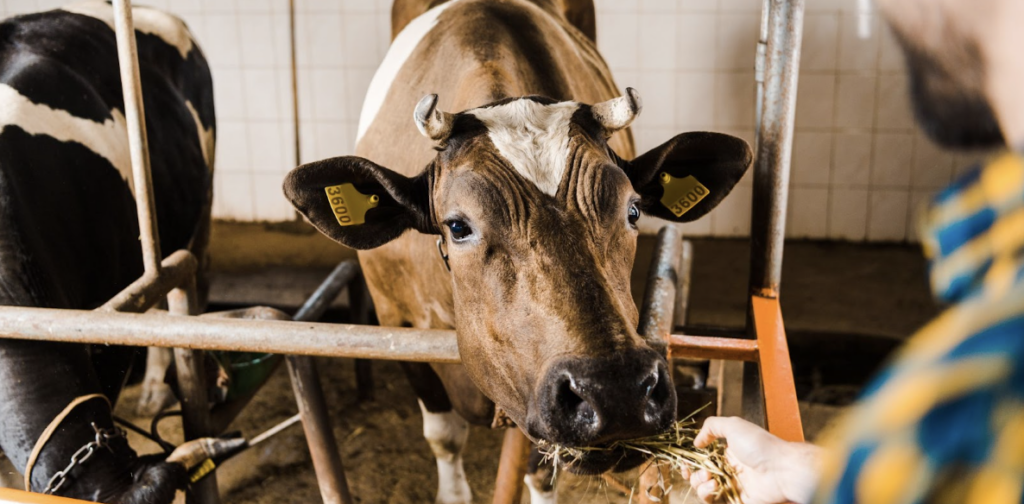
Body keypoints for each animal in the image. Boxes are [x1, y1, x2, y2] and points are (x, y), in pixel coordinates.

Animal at [284, 1, 749, 501]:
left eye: (633, 210)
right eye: (457, 226)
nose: (616, 390)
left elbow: (539, 467)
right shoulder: (396, 322)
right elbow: (443, 436)